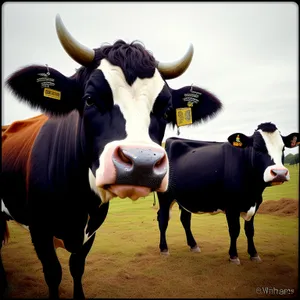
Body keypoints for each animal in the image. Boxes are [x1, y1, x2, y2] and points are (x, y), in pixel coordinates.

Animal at [0, 13, 223, 298]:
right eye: (89, 99)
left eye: (166, 110)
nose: (142, 164)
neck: (78, 200)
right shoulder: (40, 231)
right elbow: (53, 274)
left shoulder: (91, 229)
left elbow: (77, 267)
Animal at [156, 122, 298, 264]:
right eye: (257, 148)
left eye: (283, 148)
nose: (279, 173)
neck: (252, 191)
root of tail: (170, 141)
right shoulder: (231, 206)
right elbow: (234, 230)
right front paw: (233, 256)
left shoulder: (255, 204)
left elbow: (250, 230)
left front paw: (254, 254)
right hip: (165, 196)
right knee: (163, 218)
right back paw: (164, 249)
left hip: (185, 197)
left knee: (185, 219)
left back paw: (193, 245)